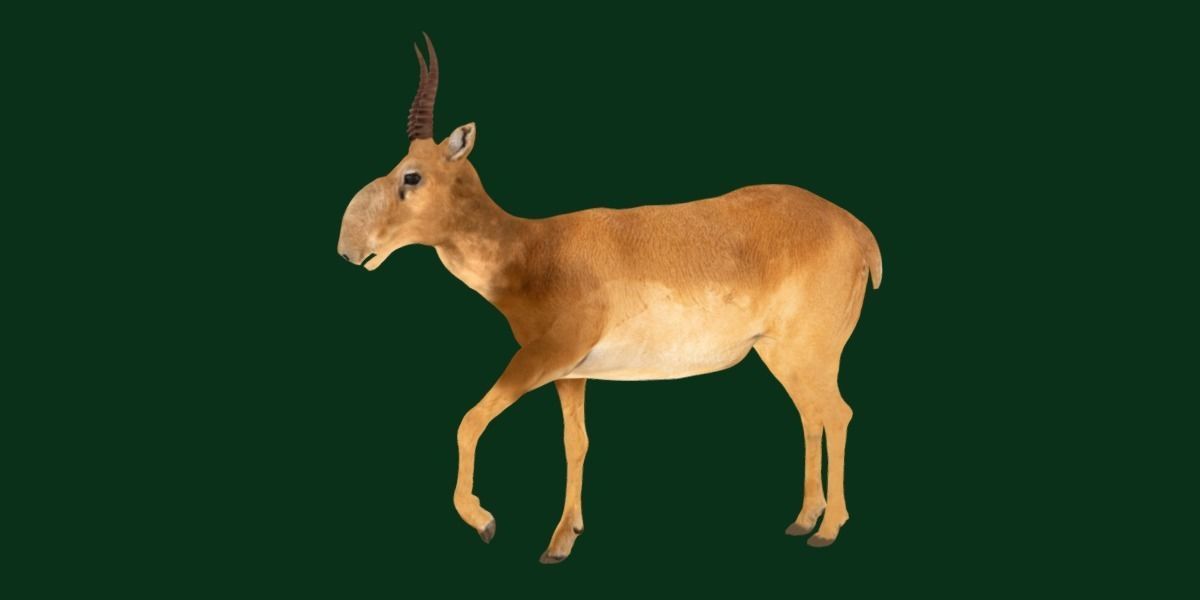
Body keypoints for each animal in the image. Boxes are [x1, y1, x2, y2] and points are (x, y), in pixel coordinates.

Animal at [336, 34, 882, 564]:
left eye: (411, 175)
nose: (349, 249)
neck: (532, 249)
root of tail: (859, 232)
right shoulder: (569, 373)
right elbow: (575, 443)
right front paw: (562, 539)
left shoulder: (539, 358)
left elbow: (468, 422)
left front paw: (485, 521)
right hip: (782, 354)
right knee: (812, 416)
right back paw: (804, 519)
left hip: (808, 353)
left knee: (837, 414)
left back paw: (827, 531)